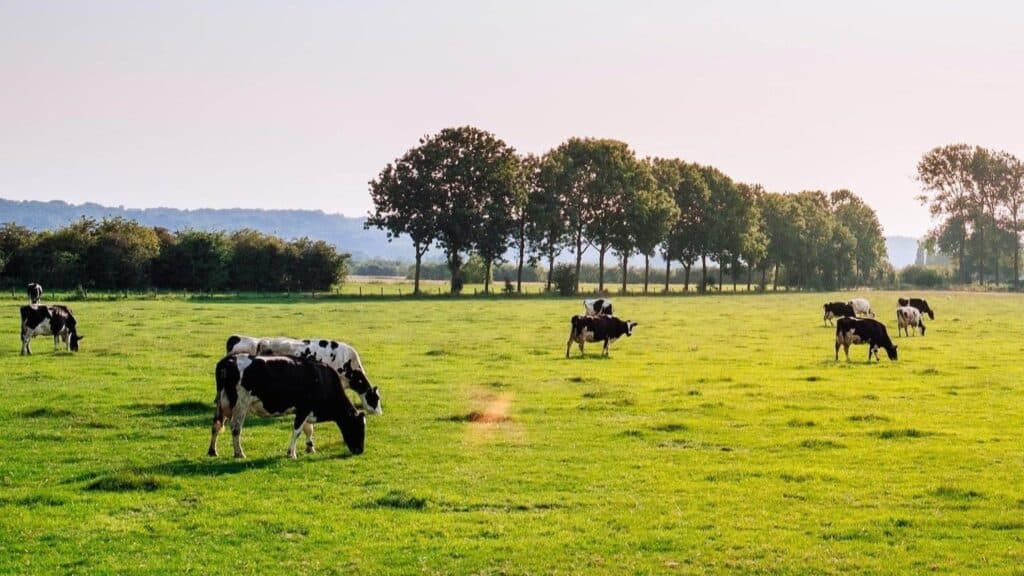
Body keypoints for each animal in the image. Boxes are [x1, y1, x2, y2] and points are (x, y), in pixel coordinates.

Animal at [208, 354, 366, 459]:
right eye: (358, 427)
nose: (360, 450)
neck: (322, 379)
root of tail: (228, 360)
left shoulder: (305, 411)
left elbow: (308, 429)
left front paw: (310, 448)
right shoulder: (304, 409)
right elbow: (297, 431)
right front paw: (292, 453)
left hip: (221, 403)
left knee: (216, 425)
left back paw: (212, 451)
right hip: (241, 404)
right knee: (235, 428)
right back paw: (239, 453)